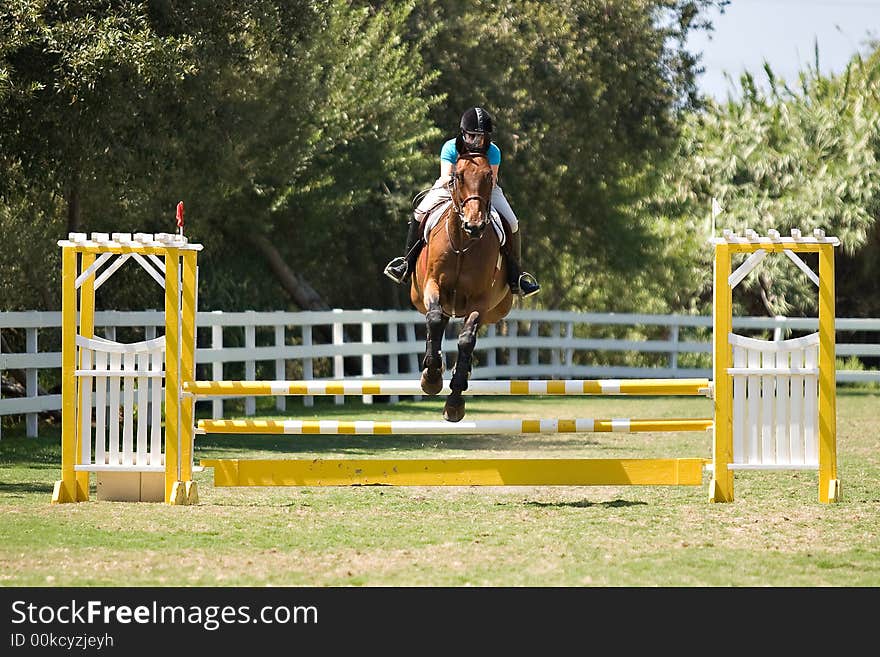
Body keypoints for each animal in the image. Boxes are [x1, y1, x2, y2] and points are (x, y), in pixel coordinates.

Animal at [412, 152, 516, 422]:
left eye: (489, 176)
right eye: (457, 176)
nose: (474, 225)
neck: (462, 244)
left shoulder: (480, 300)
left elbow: (467, 340)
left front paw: (455, 401)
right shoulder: (432, 286)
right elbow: (434, 319)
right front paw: (432, 377)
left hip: (494, 309)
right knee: (438, 320)